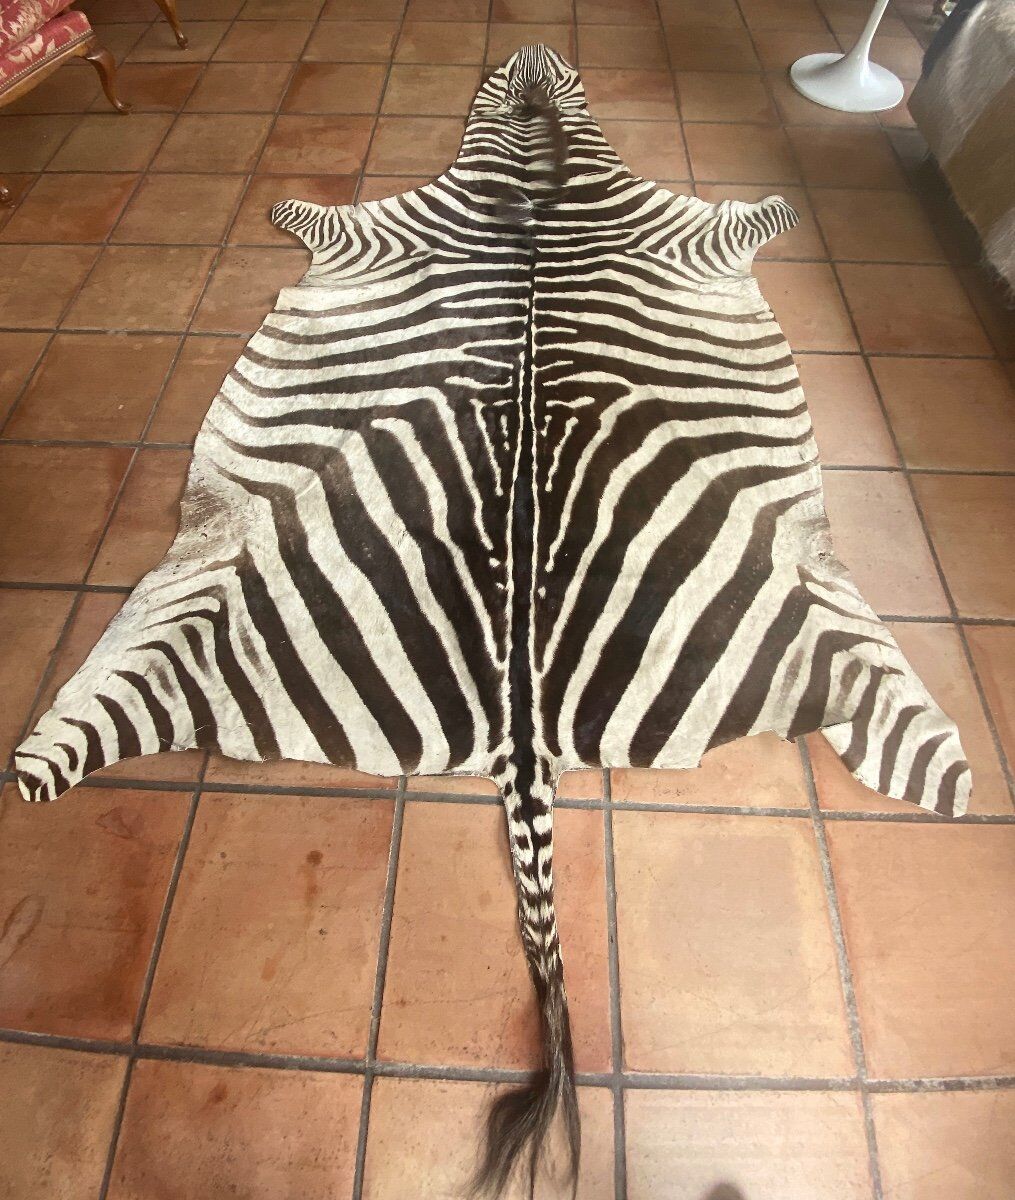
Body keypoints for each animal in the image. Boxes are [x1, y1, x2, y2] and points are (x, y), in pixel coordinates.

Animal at [15, 45, 969, 1198]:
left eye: (547, 77)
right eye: (513, 80)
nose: (528, 53)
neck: (533, 176)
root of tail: (521, 723)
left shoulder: (621, 226)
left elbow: (749, 213)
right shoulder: (472, 226)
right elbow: (322, 214)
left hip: (801, 578)